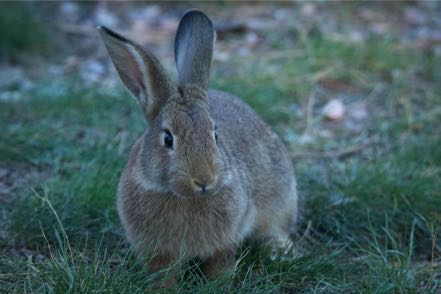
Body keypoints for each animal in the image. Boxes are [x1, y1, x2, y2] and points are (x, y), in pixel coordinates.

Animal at [99, 8, 300, 280]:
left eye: (215, 134)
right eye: (168, 139)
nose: (205, 179)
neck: (180, 196)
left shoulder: (226, 241)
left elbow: (220, 264)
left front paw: (219, 283)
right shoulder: (158, 253)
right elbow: (163, 274)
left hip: (281, 196)